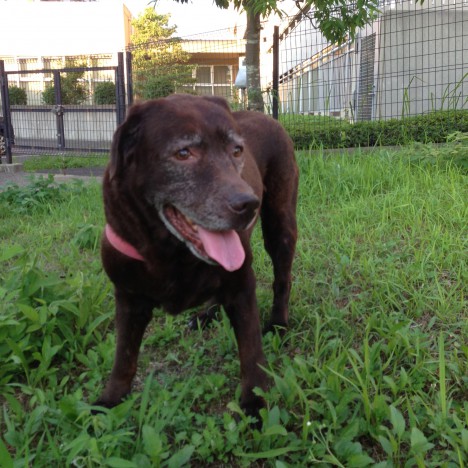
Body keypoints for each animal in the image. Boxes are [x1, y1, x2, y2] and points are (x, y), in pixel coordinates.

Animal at [96, 94, 298, 416]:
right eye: (183, 153)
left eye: (237, 151)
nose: (248, 204)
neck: (170, 250)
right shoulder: (128, 296)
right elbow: (123, 355)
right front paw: (110, 400)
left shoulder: (242, 285)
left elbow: (251, 349)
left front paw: (254, 403)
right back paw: (207, 314)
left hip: (281, 222)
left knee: (282, 278)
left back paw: (278, 322)